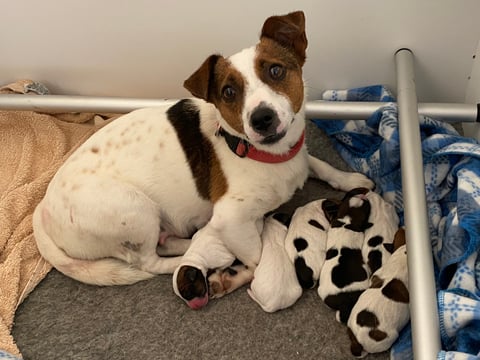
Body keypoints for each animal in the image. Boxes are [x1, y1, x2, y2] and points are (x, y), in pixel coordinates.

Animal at [31, 11, 374, 310]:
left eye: (276, 71)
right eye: (228, 91)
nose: (262, 118)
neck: (266, 156)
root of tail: (43, 208)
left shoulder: (299, 156)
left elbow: (318, 163)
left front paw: (349, 179)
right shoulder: (231, 219)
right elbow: (257, 258)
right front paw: (234, 276)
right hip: (136, 210)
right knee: (149, 261)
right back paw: (187, 254)